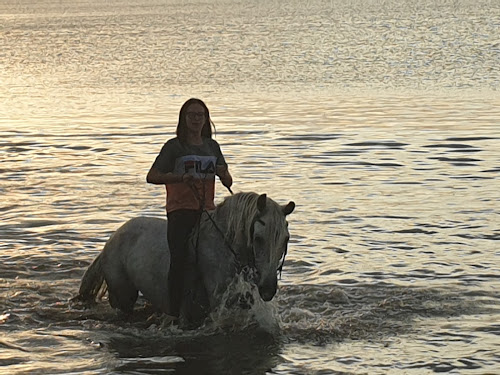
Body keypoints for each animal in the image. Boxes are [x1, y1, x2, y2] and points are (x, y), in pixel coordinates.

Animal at [73, 192, 294, 328]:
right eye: (258, 238)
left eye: (285, 238)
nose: (268, 289)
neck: (223, 247)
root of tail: (112, 239)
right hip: (122, 294)